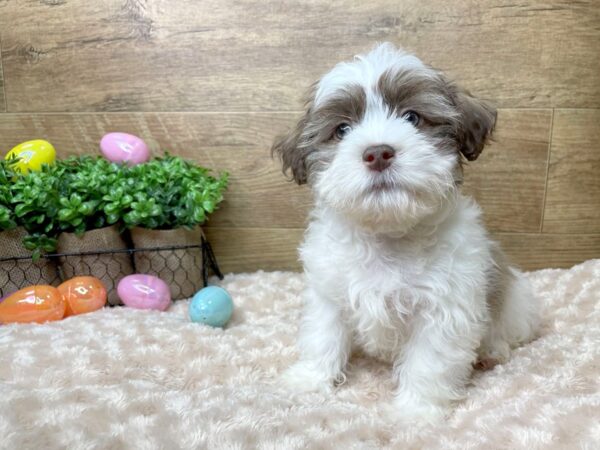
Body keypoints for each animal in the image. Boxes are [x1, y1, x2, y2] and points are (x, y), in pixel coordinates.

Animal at [272, 43, 540, 426]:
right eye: (342, 129)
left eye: (412, 117)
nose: (377, 152)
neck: (388, 236)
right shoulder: (328, 292)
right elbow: (322, 335)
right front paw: (308, 380)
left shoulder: (444, 309)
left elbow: (429, 363)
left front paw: (415, 413)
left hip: (516, 302)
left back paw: (492, 351)